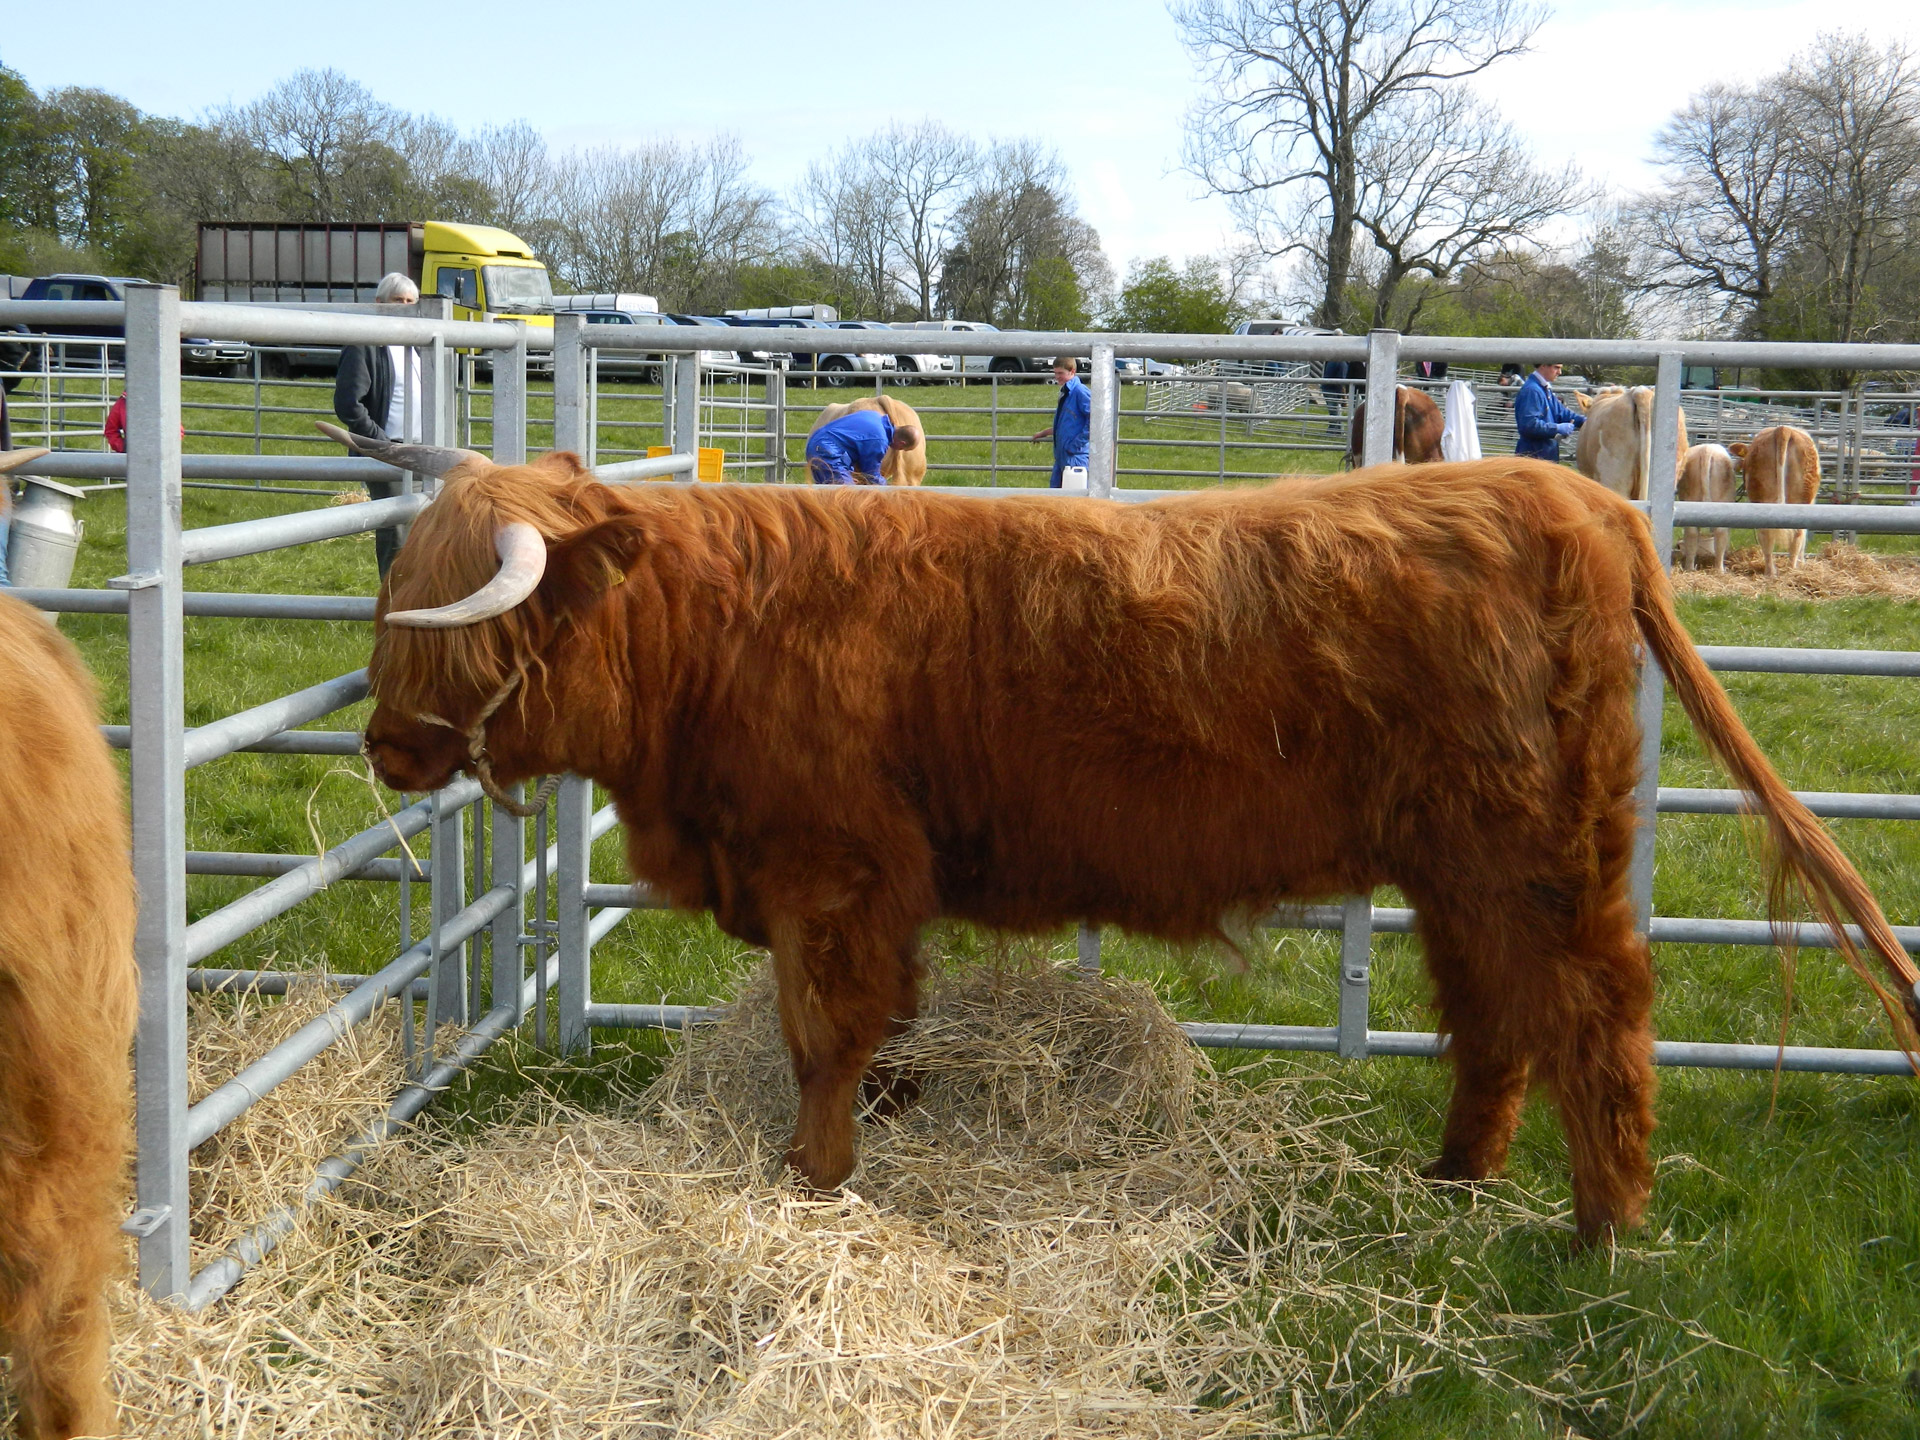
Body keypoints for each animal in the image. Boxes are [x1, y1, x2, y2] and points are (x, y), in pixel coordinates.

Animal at [1735, 422, 1820, 576]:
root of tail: (1783, 429)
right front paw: (1802, 564)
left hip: (1761, 497)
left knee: (1764, 533)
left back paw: (1770, 572)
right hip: (1802, 498)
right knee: (1798, 534)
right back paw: (1791, 570)